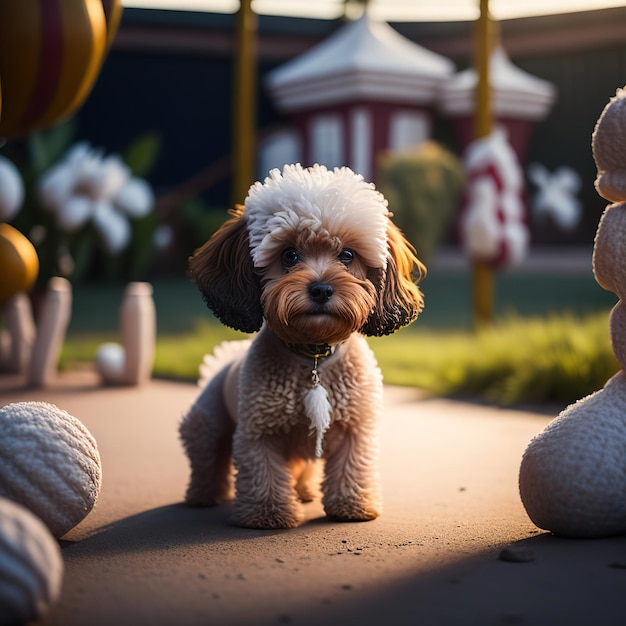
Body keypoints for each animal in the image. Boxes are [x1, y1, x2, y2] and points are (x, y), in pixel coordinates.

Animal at [180, 162, 424, 528]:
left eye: (347, 254)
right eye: (289, 255)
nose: (321, 289)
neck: (313, 357)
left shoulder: (354, 427)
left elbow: (352, 467)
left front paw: (352, 504)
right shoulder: (259, 431)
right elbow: (263, 473)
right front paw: (267, 513)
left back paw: (304, 492)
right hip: (205, 427)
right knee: (207, 462)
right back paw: (203, 495)